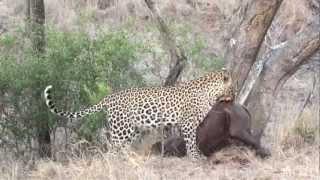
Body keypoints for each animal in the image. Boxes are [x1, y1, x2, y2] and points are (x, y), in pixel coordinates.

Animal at [43, 69, 234, 158]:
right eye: (234, 87)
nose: (234, 96)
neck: (211, 93)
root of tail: (108, 97)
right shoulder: (187, 124)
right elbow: (191, 142)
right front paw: (195, 157)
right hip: (121, 129)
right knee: (111, 149)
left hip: (132, 129)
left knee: (122, 148)